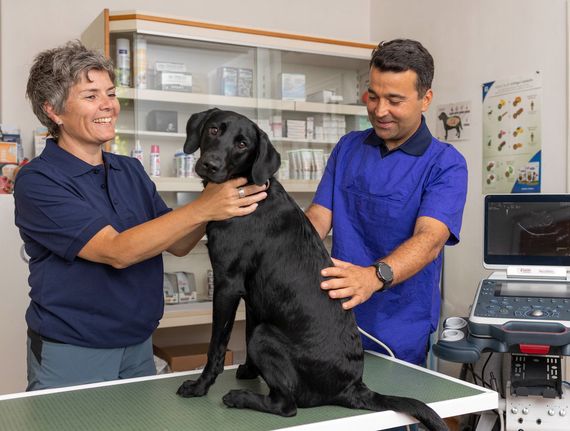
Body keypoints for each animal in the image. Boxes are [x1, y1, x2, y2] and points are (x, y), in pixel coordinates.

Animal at [175, 108, 446, 431]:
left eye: (242, 144)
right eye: (214, 130)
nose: (210, 164)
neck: (246, 192)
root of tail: (353, 387)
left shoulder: (228, 285)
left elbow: (216, 344)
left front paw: (200, 386)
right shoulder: (252, 295)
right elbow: (246, 327)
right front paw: (249, 370)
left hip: (266, 337)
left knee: (286, 406)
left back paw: (239, 398)